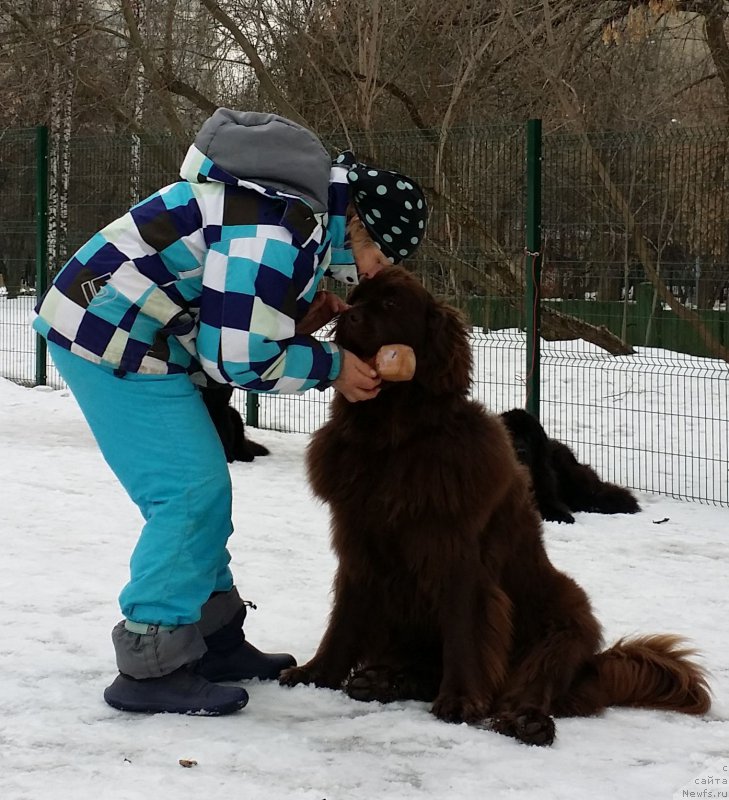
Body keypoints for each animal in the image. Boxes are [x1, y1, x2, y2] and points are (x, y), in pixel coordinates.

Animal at [280, 268, 712, 744]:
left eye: (391, 304)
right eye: (356, 298)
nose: (347, 317)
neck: (393, 438)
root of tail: (593, 667)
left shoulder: (459, 555)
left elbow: (463, 630)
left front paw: (460, 700)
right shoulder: (359, 544)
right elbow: (343, 620)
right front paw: (316, 674)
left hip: (563, 624)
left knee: (532, 683)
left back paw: (526, 720)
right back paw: (382, 680)